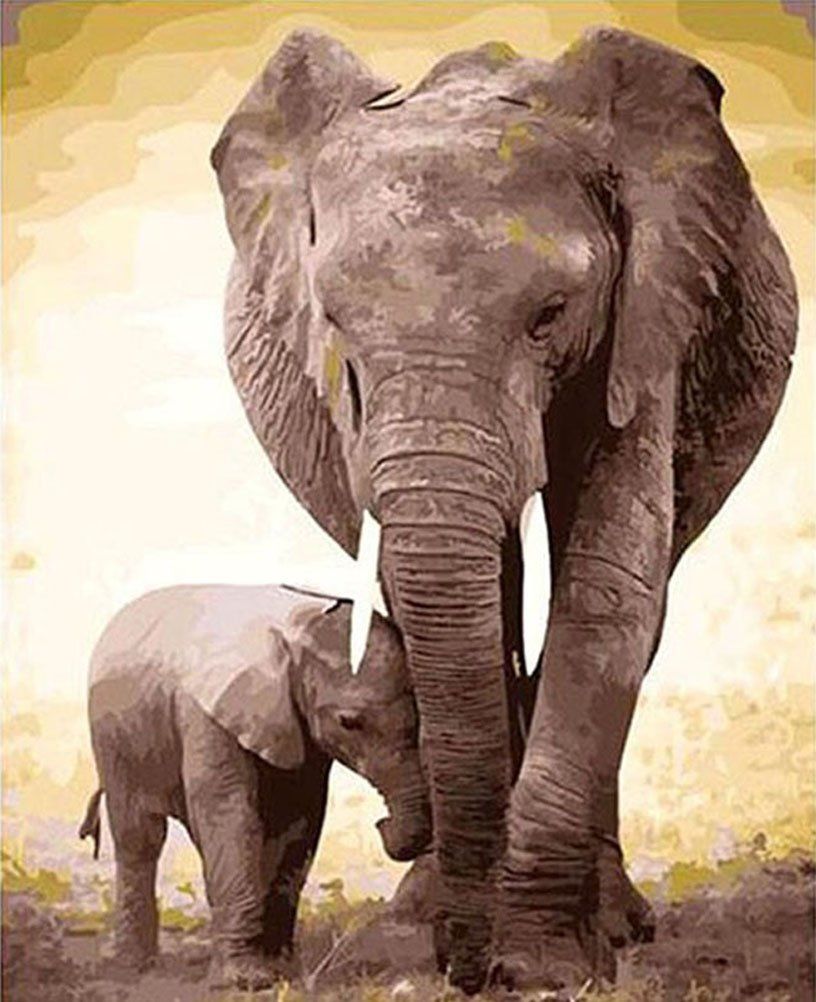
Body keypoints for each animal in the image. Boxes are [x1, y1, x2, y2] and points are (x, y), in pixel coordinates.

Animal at [80, 584, 431, 990]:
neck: (296, 633)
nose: (382, 823)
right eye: (349, 722)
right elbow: (230, 813)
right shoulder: (208, 716)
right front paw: (244, 982)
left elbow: (299, 820)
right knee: (140, 837)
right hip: (110, 736)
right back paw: (132, 966)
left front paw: (281, 972)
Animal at [210, 26, 797, 994]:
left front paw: (544, 964)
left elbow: (607, 589)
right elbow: (431, 592)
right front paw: (468, 937)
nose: (466, 966)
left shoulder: (650, 320)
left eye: (550, 315)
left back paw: (614, 921)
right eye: (335, 322)